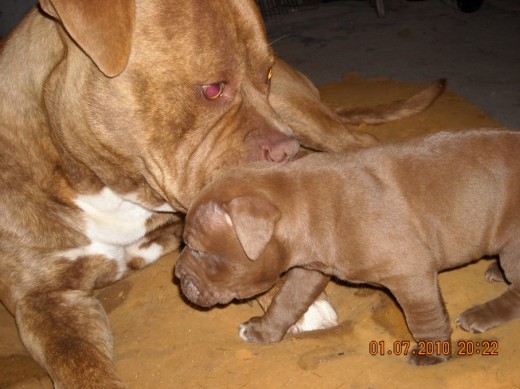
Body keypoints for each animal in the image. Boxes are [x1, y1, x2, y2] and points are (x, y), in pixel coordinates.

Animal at [0, 0, 444, 384]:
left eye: (265, 76)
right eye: (213, 89)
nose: (287, 151)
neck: (109, 186)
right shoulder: (42, 301)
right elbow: (79, 364)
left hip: (303, 116)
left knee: (362, 145)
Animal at [176, 129, 520, 366]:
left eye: (197, 250)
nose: (178, 275)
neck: (303, 201)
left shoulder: (411, 272)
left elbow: (424, 315)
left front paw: (431, 353)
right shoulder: (308, 271)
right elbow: (286, 302)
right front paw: (264, 331)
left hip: (513, 245)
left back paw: (481, 314)